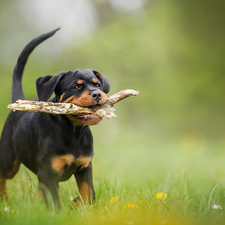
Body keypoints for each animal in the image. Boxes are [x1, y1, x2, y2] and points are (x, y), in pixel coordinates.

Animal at [0, 28, 110, 211]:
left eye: (98, 85)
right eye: (76, 86)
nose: (97, 94)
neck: (73, 131)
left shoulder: (85, 167)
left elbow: (88, 194)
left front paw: (81, 208)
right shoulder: (48, 173)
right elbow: (56, 202)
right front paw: (62, 213)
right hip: (8, 160)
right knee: (3, 177)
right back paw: (4, 201)